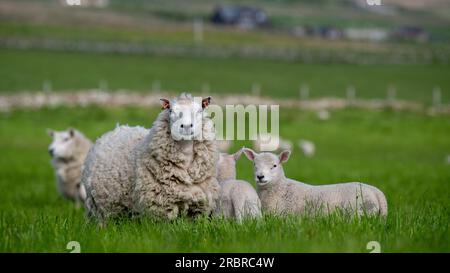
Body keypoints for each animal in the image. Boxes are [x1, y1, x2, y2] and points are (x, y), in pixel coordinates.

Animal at [83, 93, 221, 221]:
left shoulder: (197, 209)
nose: (186, 126)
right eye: (170, 110)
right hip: (101, 208)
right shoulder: (160, 207)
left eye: (200, 110)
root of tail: (114, 130)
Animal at [243, 148, 386, 216]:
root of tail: (377, 193)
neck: (281, 188)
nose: (260, 176)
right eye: (254, 164)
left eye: (274, 166)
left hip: (359, 211)